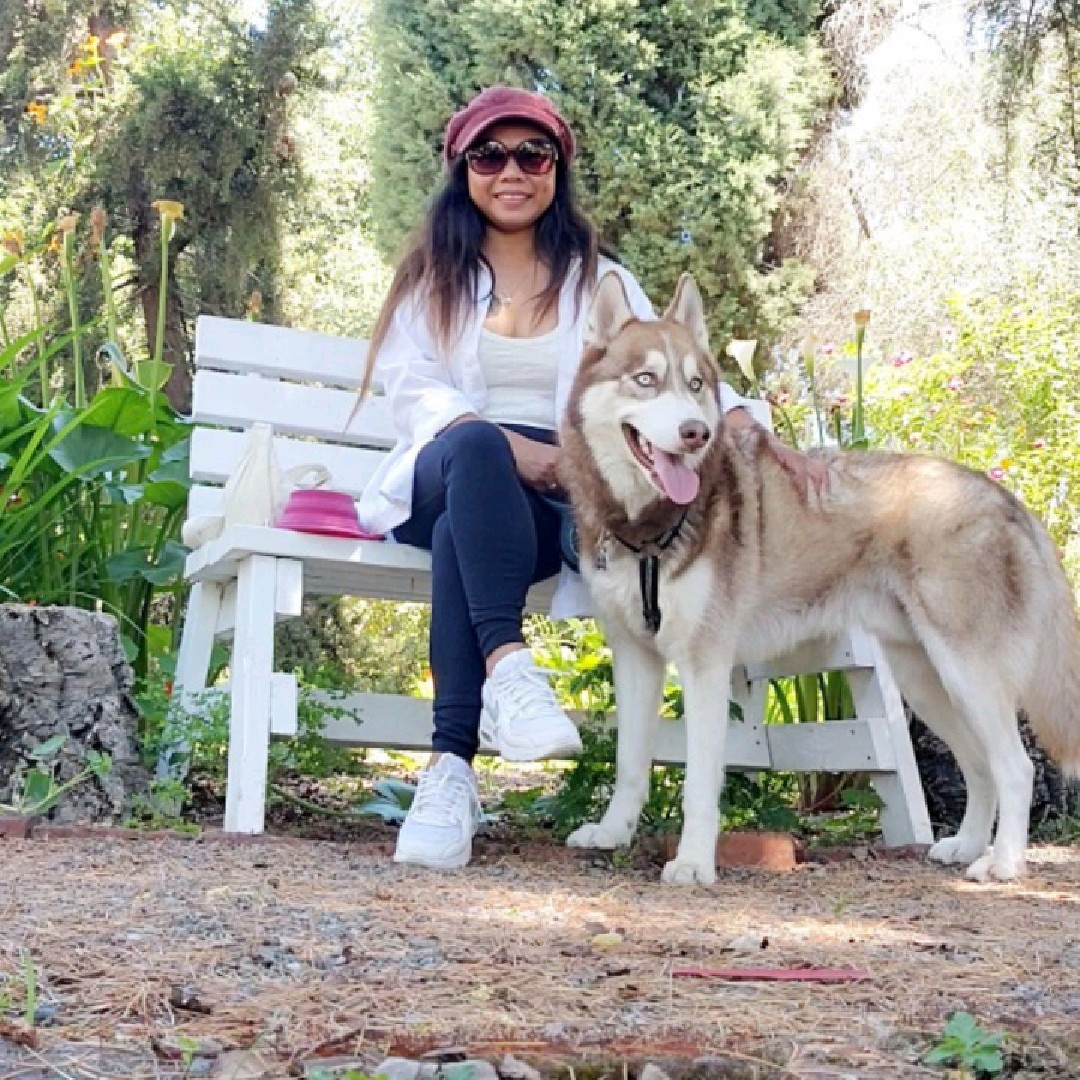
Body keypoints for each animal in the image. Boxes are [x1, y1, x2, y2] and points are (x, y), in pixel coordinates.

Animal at [558, 271, 1080, 885]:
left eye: (695, 384)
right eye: (646, 380)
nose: (696, 432)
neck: (647, 528)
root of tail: (1003, 494)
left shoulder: (704, 664)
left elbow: (699, 785)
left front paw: (691, 862)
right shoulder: (635, 657)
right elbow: (630, 764)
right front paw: (613, 833)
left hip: (967, 672)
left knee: (1015, 767)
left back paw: (1004, 862)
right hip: (926, 679)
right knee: (979, 765)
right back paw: (969, 845)